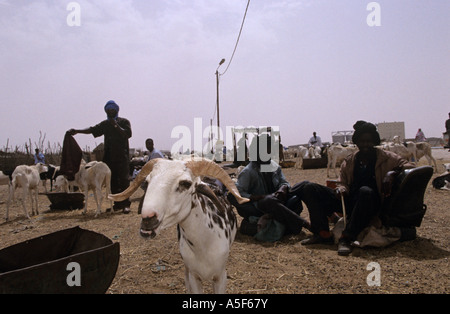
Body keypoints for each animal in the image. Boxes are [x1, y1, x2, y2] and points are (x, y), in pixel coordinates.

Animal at [109, 158, 250, 294]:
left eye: (185, 184)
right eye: (147, 181)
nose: (148, 219)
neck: (205, 245)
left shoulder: (221, 276)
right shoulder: (194, 276)